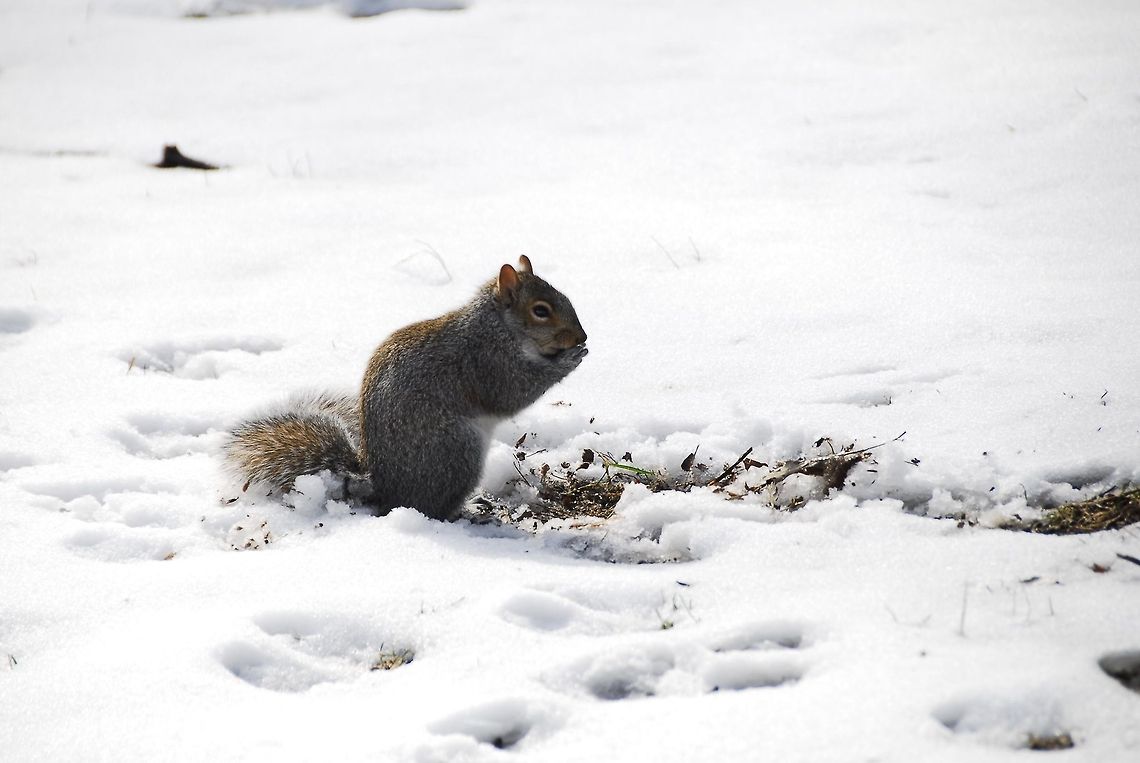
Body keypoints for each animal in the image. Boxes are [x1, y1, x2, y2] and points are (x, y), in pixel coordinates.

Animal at [224, 255, 588, 521]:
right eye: (540, 311)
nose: (581, 337)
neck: (498, 327)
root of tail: (383, 489)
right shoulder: (487, 361)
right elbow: (512, 392)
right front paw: (570, 360)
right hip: (455, 452)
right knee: (434, 508)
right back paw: (468, 513)